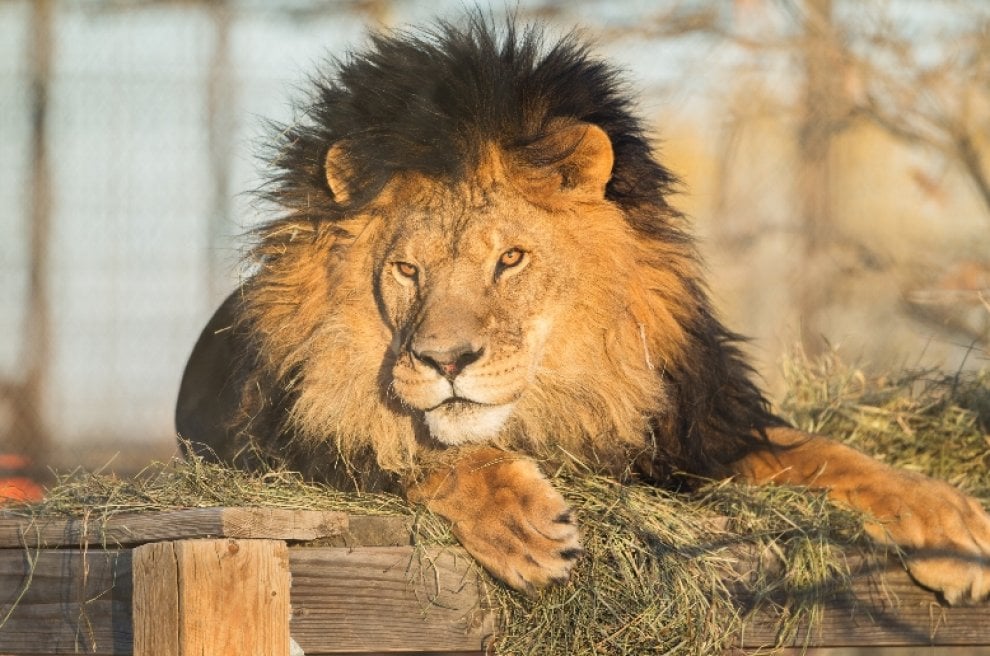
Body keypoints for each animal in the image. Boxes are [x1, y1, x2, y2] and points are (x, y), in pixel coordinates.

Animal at [176, 18, 990, 603]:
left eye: (511, 259)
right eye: (407, 269)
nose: (444, 360)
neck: (569, 392)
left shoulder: (697, 434)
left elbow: (830, 454)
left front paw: (949, 521)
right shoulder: (280, 444)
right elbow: (404, 449)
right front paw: (522, 523)